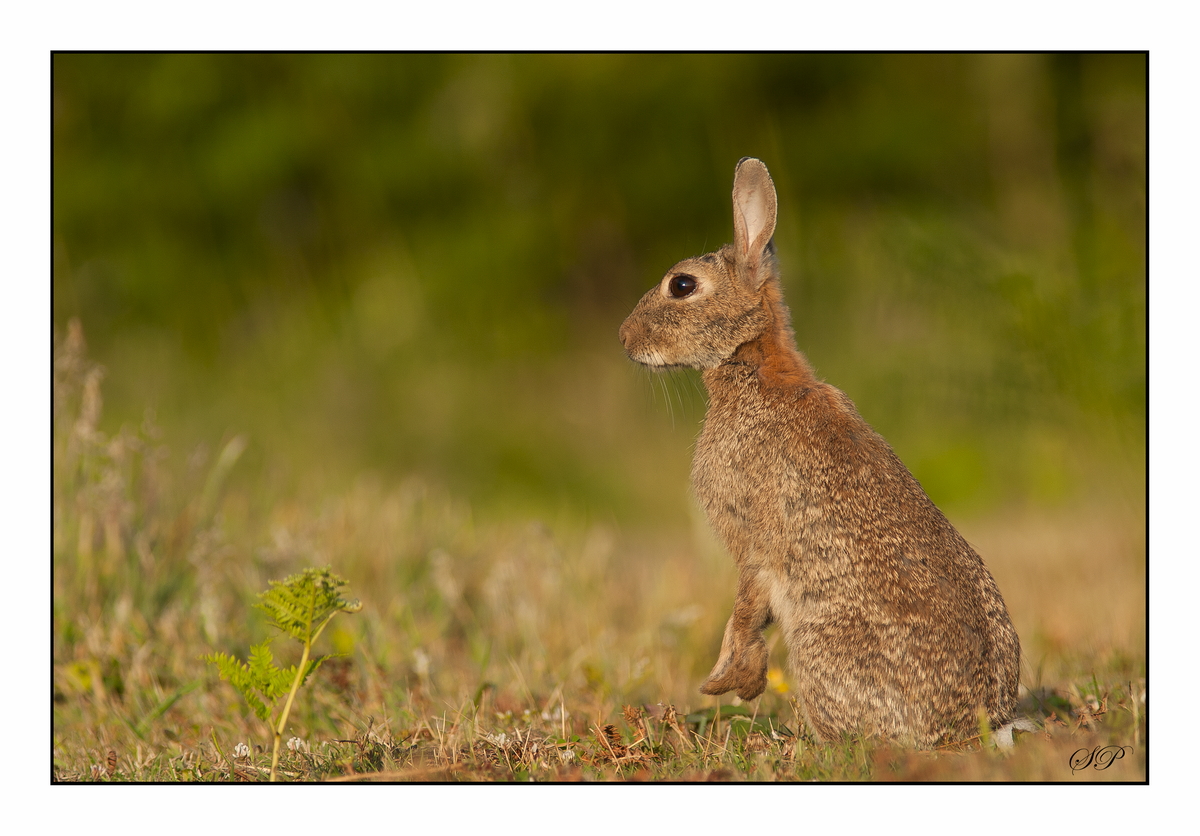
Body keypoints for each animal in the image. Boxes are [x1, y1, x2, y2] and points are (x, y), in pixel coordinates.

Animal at [619, 159, 1022, 748]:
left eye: (683, 285)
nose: (624, 337)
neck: (753, 365)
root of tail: (977, 728)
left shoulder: (750, 538)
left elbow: (744, 610)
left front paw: (724, 683)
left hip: (818, 645)